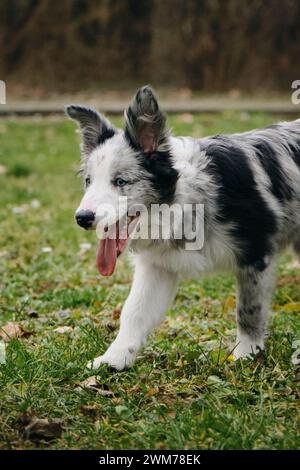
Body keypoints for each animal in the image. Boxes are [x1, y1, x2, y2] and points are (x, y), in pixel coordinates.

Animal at [66, 85, 300, 370]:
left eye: (120, 181)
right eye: (88, 181)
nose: (82, 218)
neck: (183, 198)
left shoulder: (255, 253)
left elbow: (248, 309)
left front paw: (245, 355)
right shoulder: (158, 267)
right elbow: (134, 312)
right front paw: (114, 358)